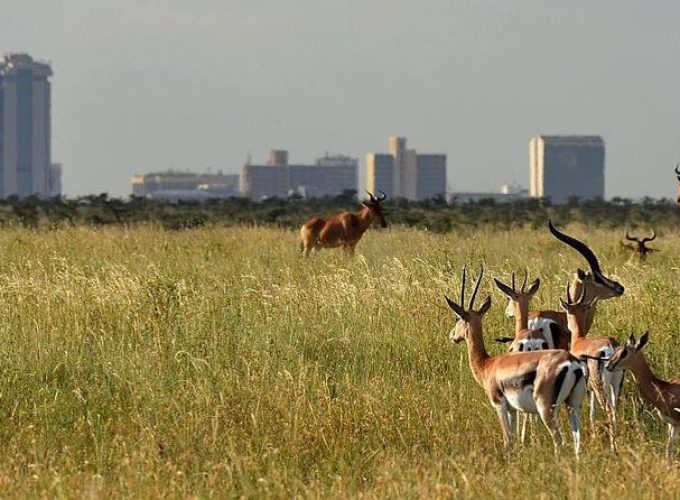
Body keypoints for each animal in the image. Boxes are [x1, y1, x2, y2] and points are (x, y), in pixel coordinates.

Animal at [446, 268, 588, 456]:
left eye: (458, 318)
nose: (452, 335)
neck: (488, 364)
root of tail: (571, 362)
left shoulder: (499, 405)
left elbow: (507, 440)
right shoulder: (513, 410)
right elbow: (512, 438)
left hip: (546, 408)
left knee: (559, 440)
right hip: (573, 405)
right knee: (578, 438)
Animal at [560, 282, 624, 450]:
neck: (579, 341)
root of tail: (611, 345)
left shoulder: (587, 390)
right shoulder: (590, 390)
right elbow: (592, 413)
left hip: (600, 385)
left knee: (609, 410)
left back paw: (613, 447)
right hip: (615, 385)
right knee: (615, 409)